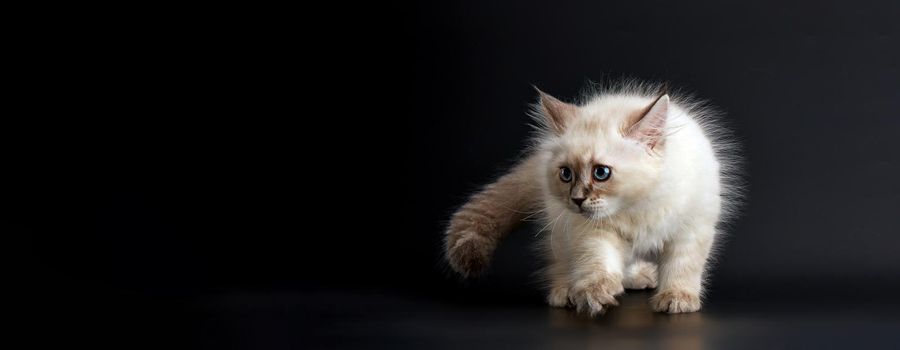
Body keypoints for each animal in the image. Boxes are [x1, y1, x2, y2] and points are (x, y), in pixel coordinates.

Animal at [446, 81, 740, 314]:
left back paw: (640, 277)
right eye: (566, 174)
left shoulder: (691, 229)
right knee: (561, 263)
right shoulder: (593, 232)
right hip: (561, 228)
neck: (637, 206)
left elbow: (682, 267)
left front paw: (677, 298)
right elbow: (598, 263)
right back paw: (567, 292)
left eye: (601, 173)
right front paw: (593, 294)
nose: (576, 199)